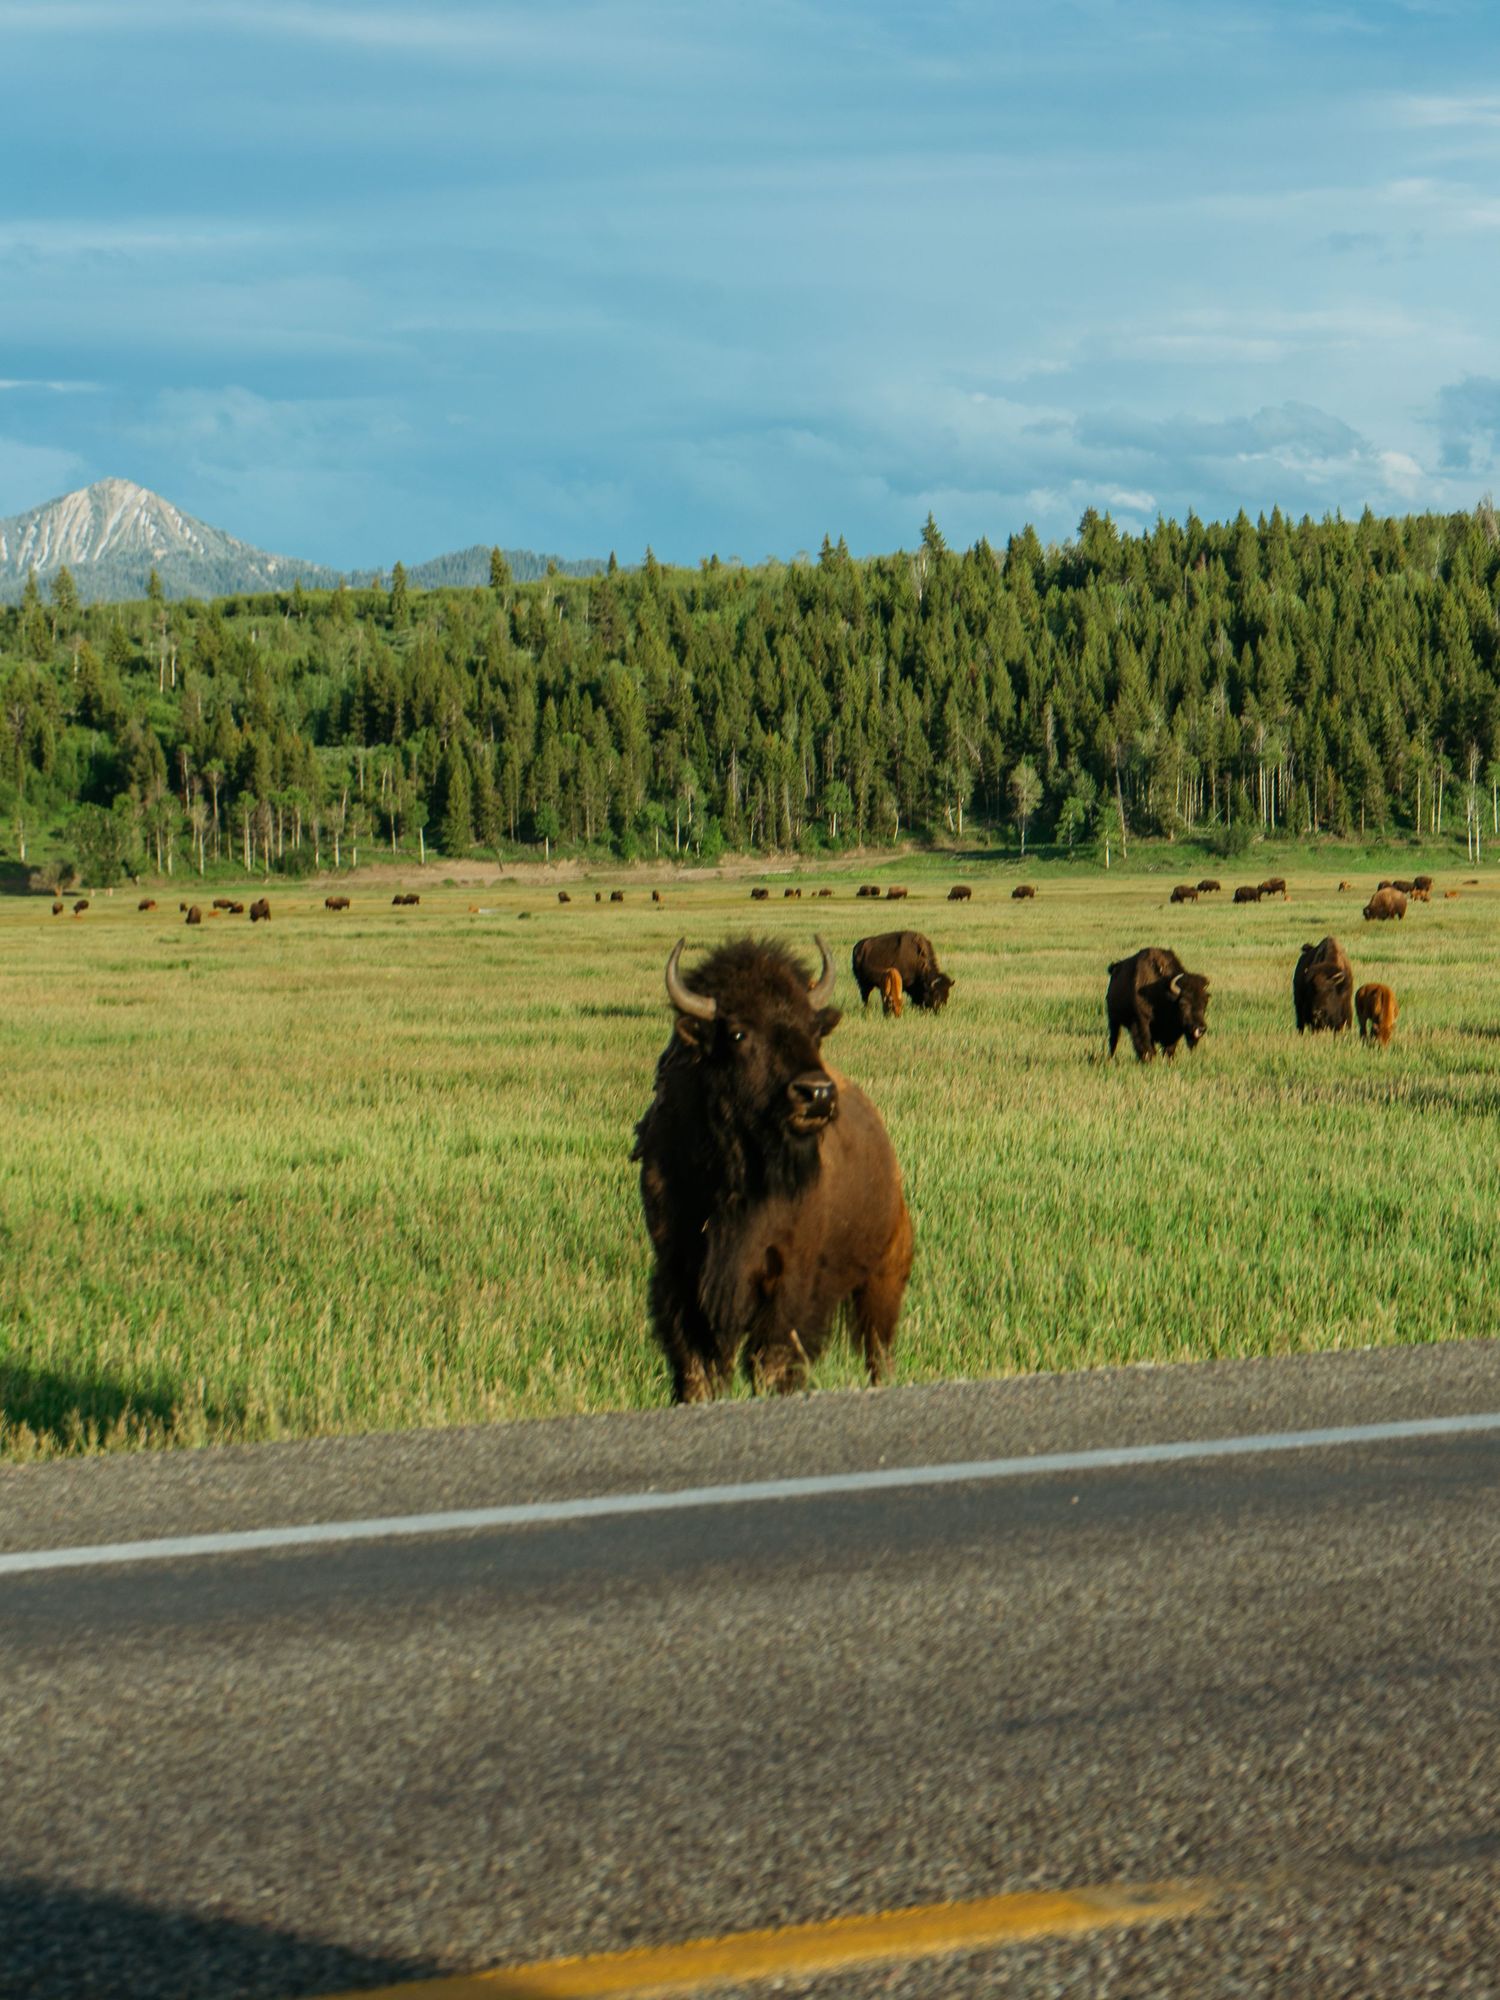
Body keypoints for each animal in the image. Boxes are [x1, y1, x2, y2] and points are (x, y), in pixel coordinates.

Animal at [633, 935, 913, 1402]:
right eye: (738, 1032)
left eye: (813, 1030)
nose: (816, 1094)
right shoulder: (680, 1273)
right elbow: (695, 1366)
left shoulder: (790, 1278)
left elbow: (774, 1360)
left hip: (882, 1278)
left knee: (877, 1350)